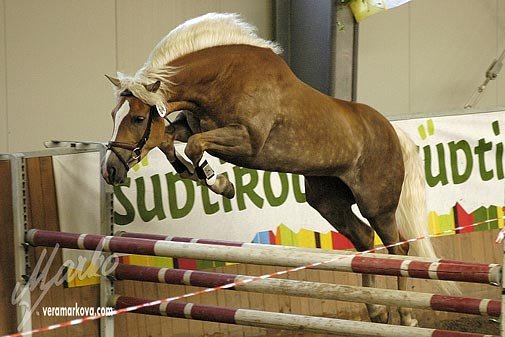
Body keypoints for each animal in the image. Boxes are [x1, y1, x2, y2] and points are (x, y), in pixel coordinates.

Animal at [100, 13, 454, 326]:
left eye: (137, 118)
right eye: (114, 115)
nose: (110, 171)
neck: (221, 78)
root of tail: (394, 133)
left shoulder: (247, 141)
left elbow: (193, 146)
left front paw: (219, 182)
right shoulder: (192, 126)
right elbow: (170, 140)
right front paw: (206, 177)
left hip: (377, 205)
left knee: (399, 250)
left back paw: (405, 314)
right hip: (328, 201)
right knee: (365, 240)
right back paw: (376, 311)